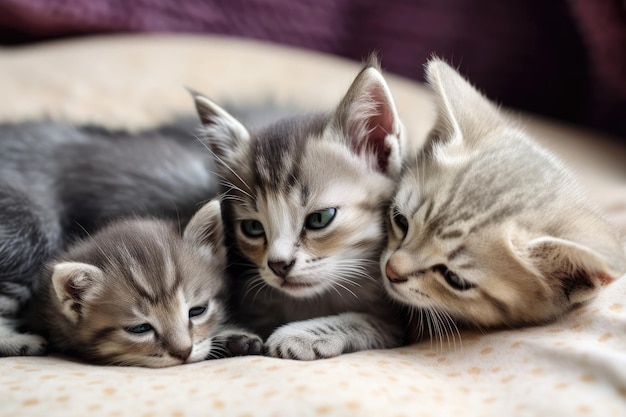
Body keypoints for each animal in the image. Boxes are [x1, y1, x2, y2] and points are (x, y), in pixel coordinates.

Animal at [188, 57, 408, 360]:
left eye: (320, 219)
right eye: (253, 227)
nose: (279, 265)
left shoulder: (400, 321)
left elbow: (366, 319)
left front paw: (302, 334)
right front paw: (232, 334)